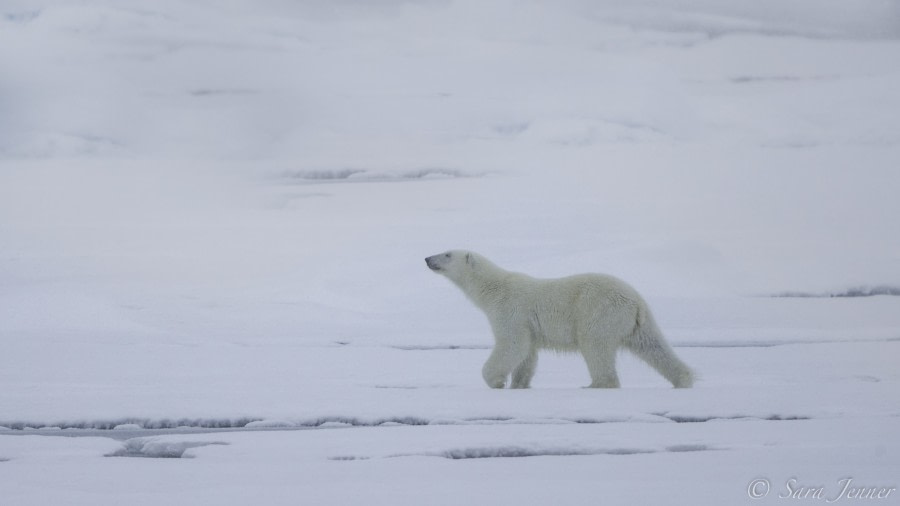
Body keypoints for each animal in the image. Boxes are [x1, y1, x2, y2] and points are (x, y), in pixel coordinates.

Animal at [426, 251, 692, 390]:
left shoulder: (510, 310)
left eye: (447, 254)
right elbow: (527, 354)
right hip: (638, 322)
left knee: (594, 345)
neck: (493, 288)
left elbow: (512, 344)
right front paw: (518, 385)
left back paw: (596, 384)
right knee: (653, 346)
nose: (428, 258)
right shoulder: (527, 325)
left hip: (599, 311)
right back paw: (684, 379)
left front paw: (495, 381)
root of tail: (636, 301)